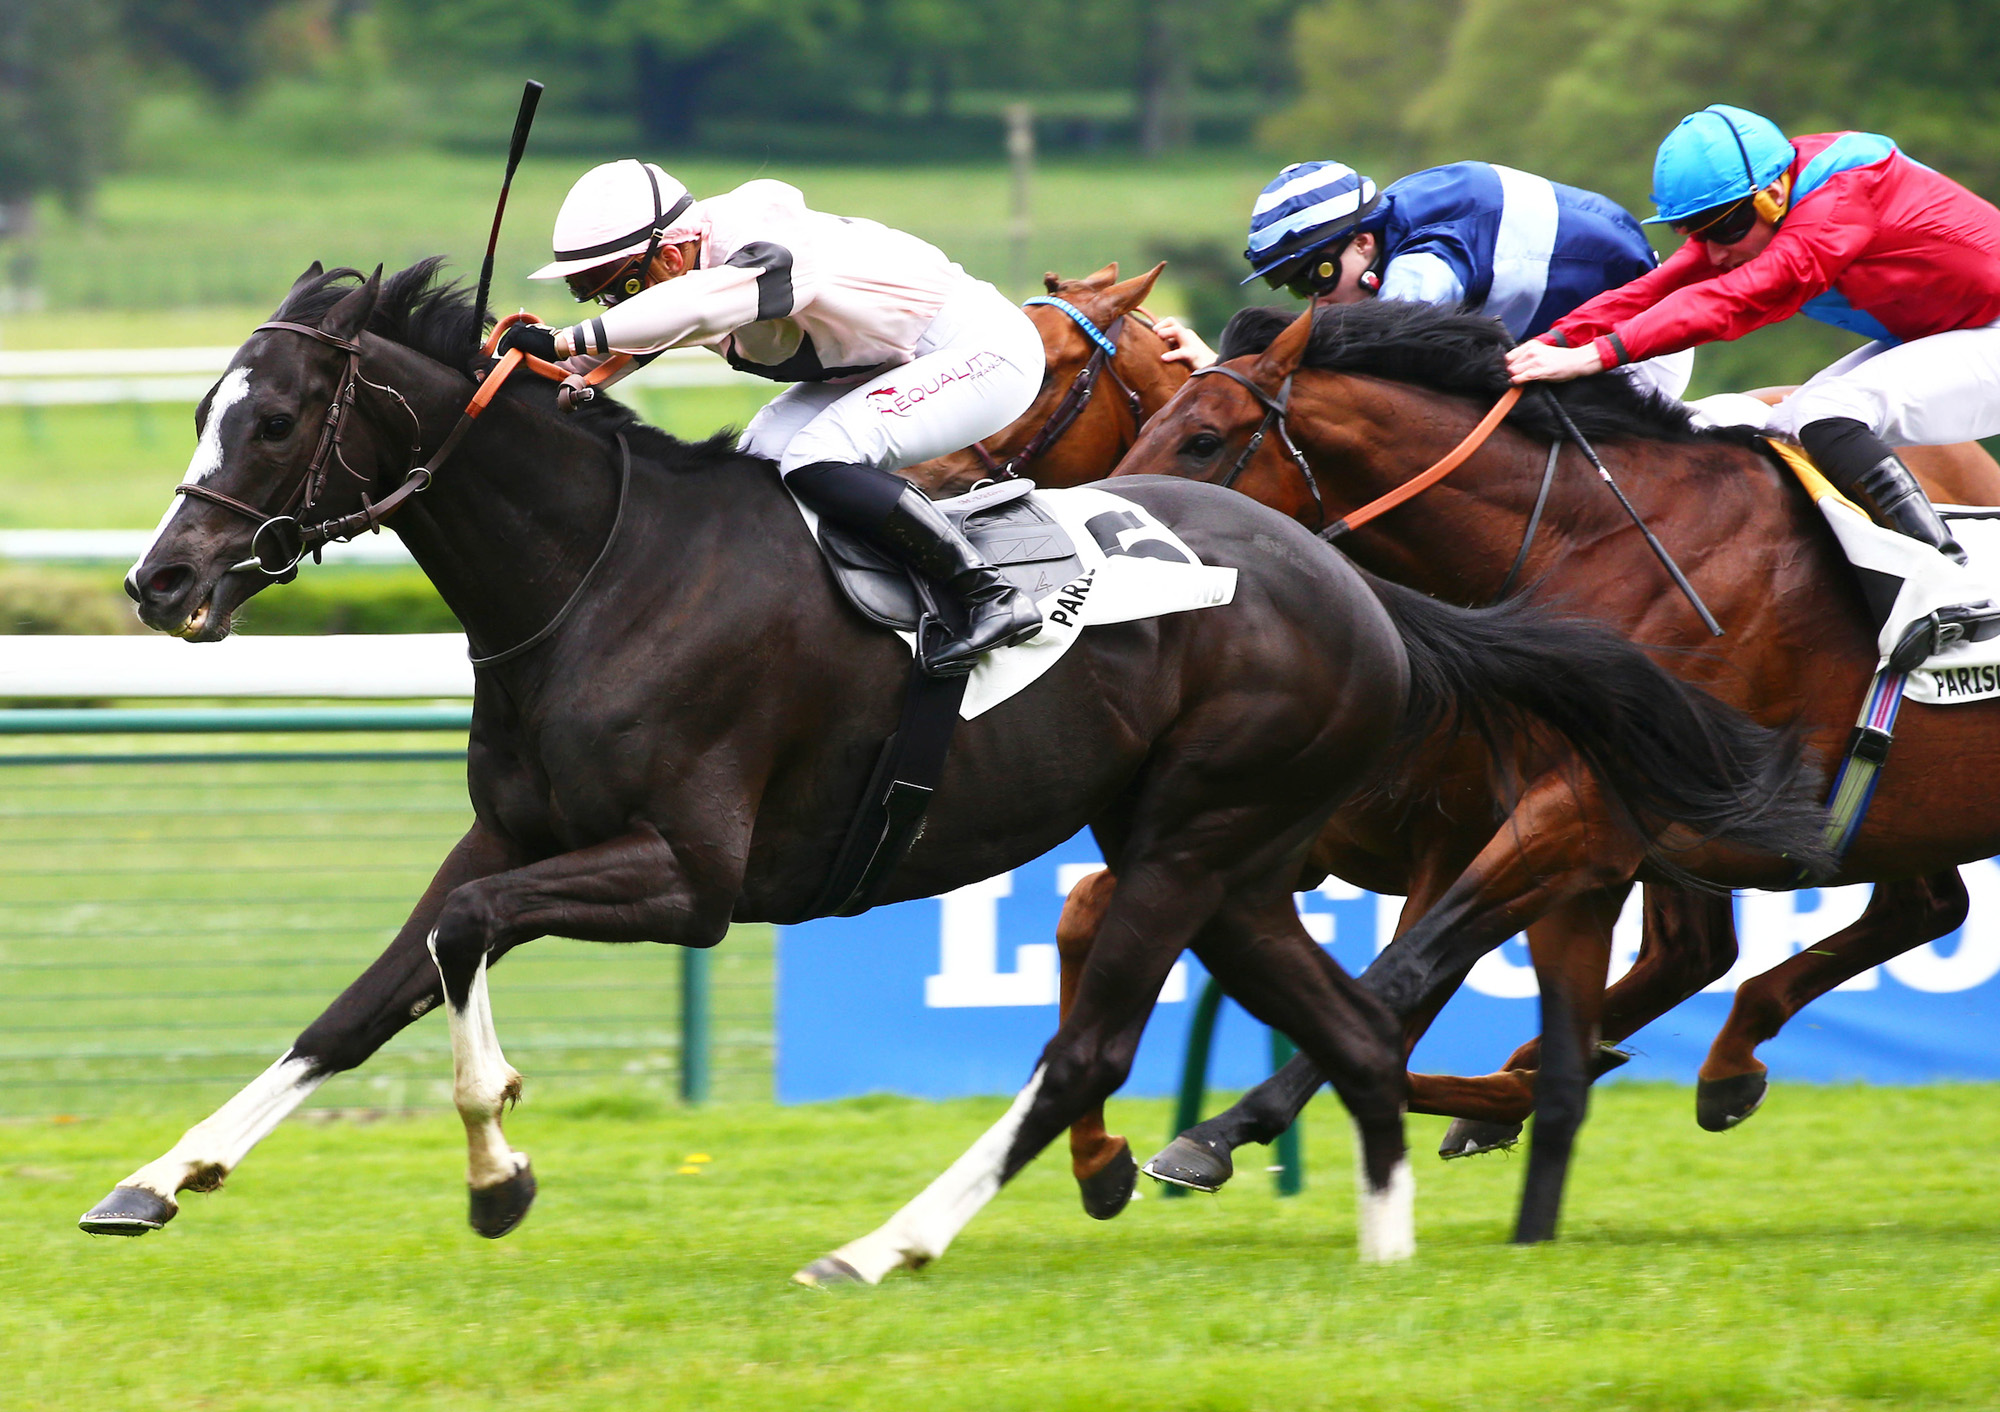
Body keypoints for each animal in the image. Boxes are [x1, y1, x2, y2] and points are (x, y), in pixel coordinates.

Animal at [74, 258, 1816, 1280]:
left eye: (275, 420)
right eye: (207, 404)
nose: (160, 582)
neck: (600, 572)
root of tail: (1355, 583)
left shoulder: (690, 880)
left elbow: (461, 941)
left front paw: (499, 1161)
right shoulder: (507, 834)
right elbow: (377, 985)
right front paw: (159, 1176)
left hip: (1191, 843)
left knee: (1092, 1053)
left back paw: (888, 1242)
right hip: (1234, 860)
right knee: (1354, 1035)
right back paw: (1378, 1256)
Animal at [1120, 300, 2000, 1224]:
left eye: (1203, 440)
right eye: (1150, 422)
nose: (1119, 518)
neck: (1599, 540)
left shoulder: (1572, 817)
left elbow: (1406, 967)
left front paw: (1219, 1131)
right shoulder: (1563, 822)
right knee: (1917, 909)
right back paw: (1709, 1065)